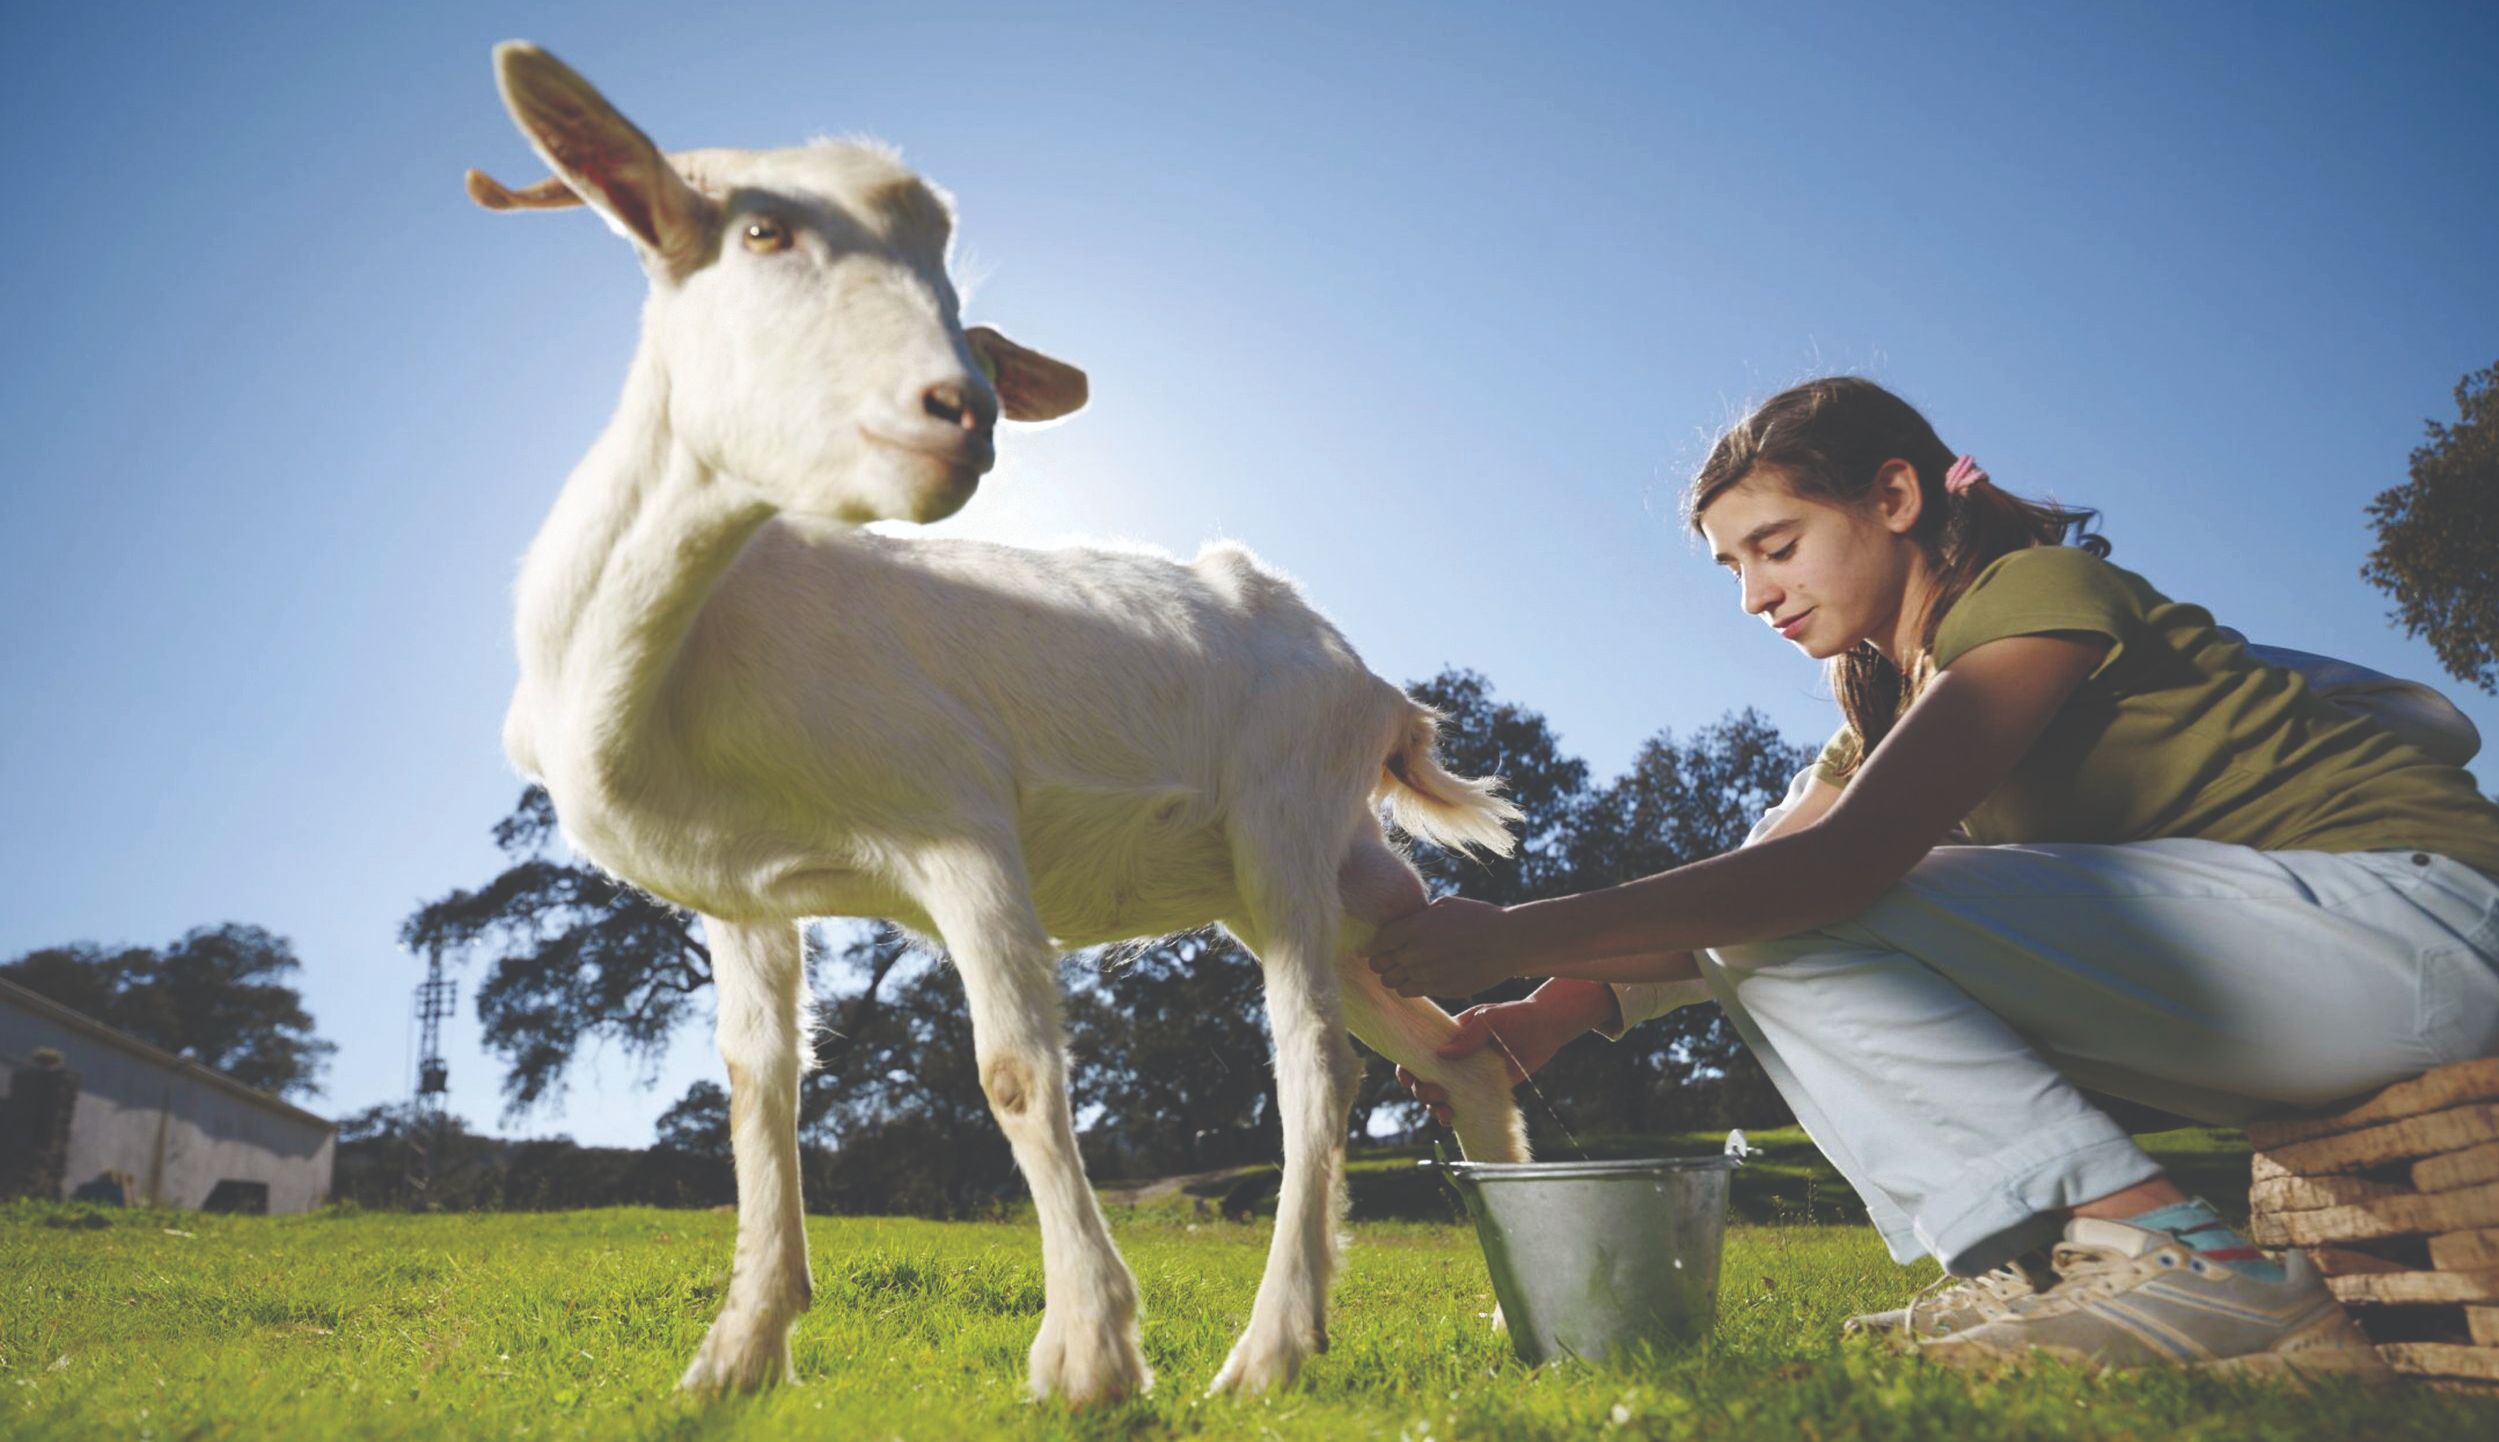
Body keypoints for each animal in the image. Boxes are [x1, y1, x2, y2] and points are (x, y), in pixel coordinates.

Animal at [467, 47, 1519, 1409]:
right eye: (762, 228)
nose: (958, 410)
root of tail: (1375, 684)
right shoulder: (742, 896)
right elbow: (758, 1091)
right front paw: (737, 1353)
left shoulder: (959, 825)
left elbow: (1014, 1071)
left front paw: (1088, 1353)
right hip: (1314, 879)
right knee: (1457, 1048)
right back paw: (1509, 1317)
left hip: (1284, 819)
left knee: (1316, 1066)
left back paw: (1269, 1349)